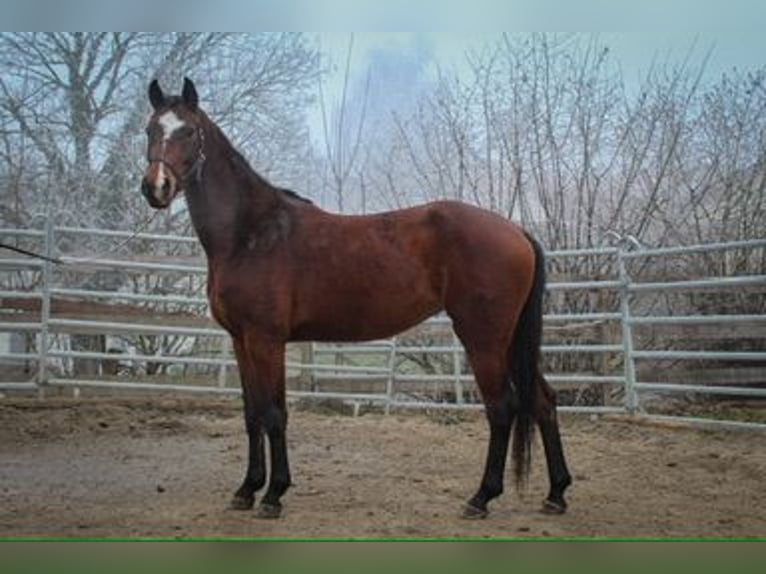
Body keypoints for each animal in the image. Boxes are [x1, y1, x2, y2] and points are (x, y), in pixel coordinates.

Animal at [141, 77, 568, 520]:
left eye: (189, 131)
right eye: (150, 130)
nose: (156, 188)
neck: (251, 233)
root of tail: (517, 231)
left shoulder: (266, 340)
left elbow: (275, 414)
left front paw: (274, 494)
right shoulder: (242, 341)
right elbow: (252, 413)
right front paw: (247, 489)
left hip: (484, 340)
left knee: (503, 408)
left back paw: (482, 497)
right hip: (510, 341)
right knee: (543, 401)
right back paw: (555, 494)